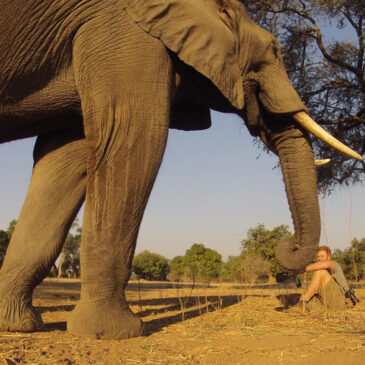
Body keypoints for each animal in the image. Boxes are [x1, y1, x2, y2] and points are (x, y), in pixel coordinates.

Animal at [0, 0, 360, 338]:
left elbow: (65, 158)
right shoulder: (126, 32)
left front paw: (18, 325)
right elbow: (132, 136)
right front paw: (112, 333)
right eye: (274, 51)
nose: (290, 245)